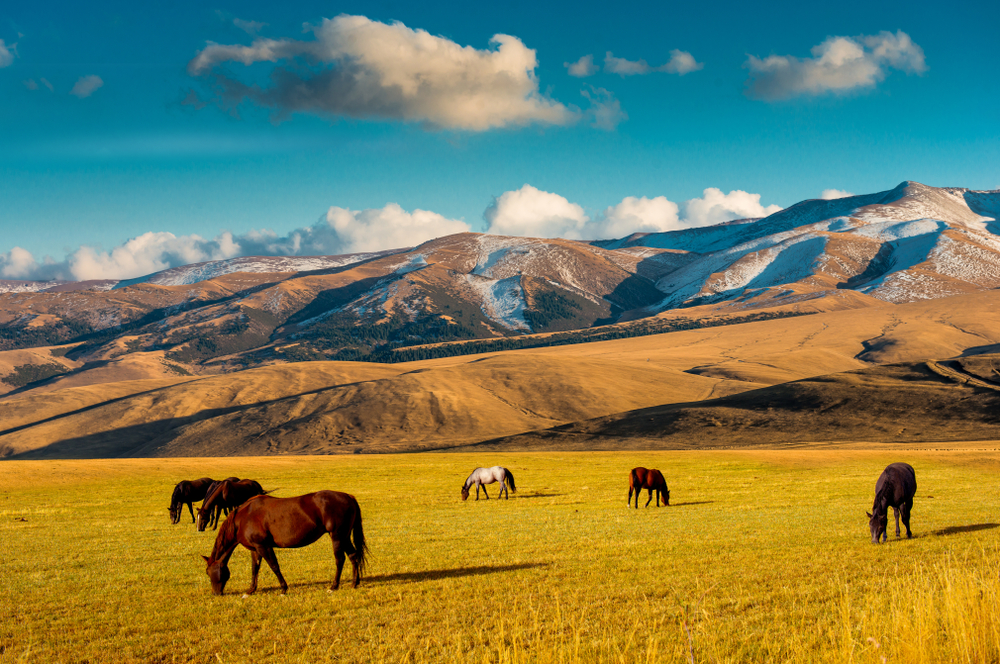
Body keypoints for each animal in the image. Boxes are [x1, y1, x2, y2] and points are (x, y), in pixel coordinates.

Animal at [200, 492, 368, 596]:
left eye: (209, 572)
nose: (216, 593)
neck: (244, 517)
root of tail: (348, 496)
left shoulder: (263, 546)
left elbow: (274, 566)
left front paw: (283, 588)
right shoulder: (255, 549)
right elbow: (255, 569)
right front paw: (251, 590)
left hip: (337, 536)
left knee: (340, 560)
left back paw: (334, 586)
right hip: (344, 537)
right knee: (353, 556)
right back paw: (354, 583)